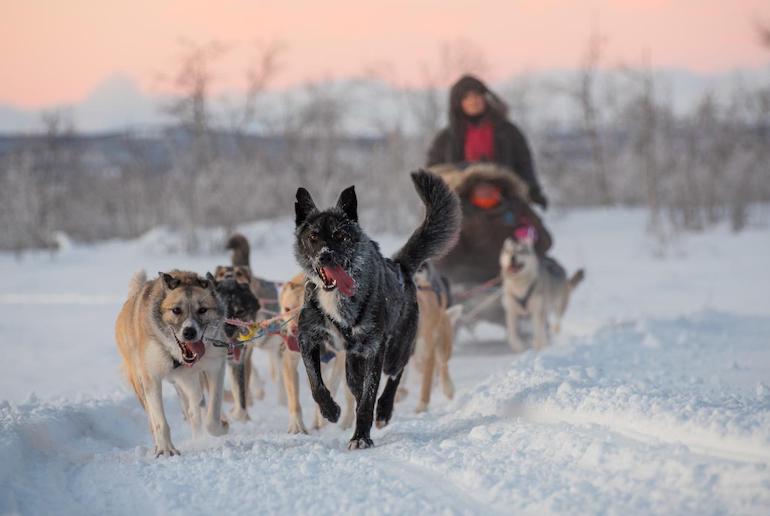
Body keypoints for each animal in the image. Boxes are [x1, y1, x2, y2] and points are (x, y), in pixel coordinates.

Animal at [114, 270, 228, 456]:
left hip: (188, 381)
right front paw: (166, 449)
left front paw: (222, 427)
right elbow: (159, 420)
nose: (189, 332)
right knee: (153, 418)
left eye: (203, 310)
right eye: (176, 310)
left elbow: (212, 415)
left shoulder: (216, 366)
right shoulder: (151, 377)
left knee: (195, 407)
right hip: (140, 383)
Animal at [276, 272, 354, 434]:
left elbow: (331, 385)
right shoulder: (290, 361)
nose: (294, 330)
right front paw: (296, 427)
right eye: (287, 309)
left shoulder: (340, 357)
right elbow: (294, 399)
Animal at [400, 260, 460, 414]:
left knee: (443, 366)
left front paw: (422, 405)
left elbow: (426, 384)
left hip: (442, 348)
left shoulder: (428, 354)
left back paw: (447, 387)